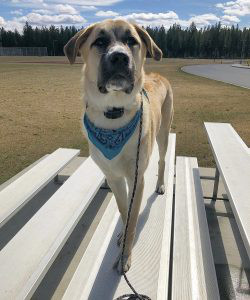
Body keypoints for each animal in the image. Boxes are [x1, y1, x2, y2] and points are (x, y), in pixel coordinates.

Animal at [64, 18, 174, 274]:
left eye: (132, 40)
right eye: (100, 41)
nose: (120, 57)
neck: (113, 114)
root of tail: (158, 75)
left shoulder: (136, 177)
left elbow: (133, 217)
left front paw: (125, 256)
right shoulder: (114, 177)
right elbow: (125, 212)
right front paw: (123, 236)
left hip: (164, 133)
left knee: (162, 160)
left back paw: (161, 184)